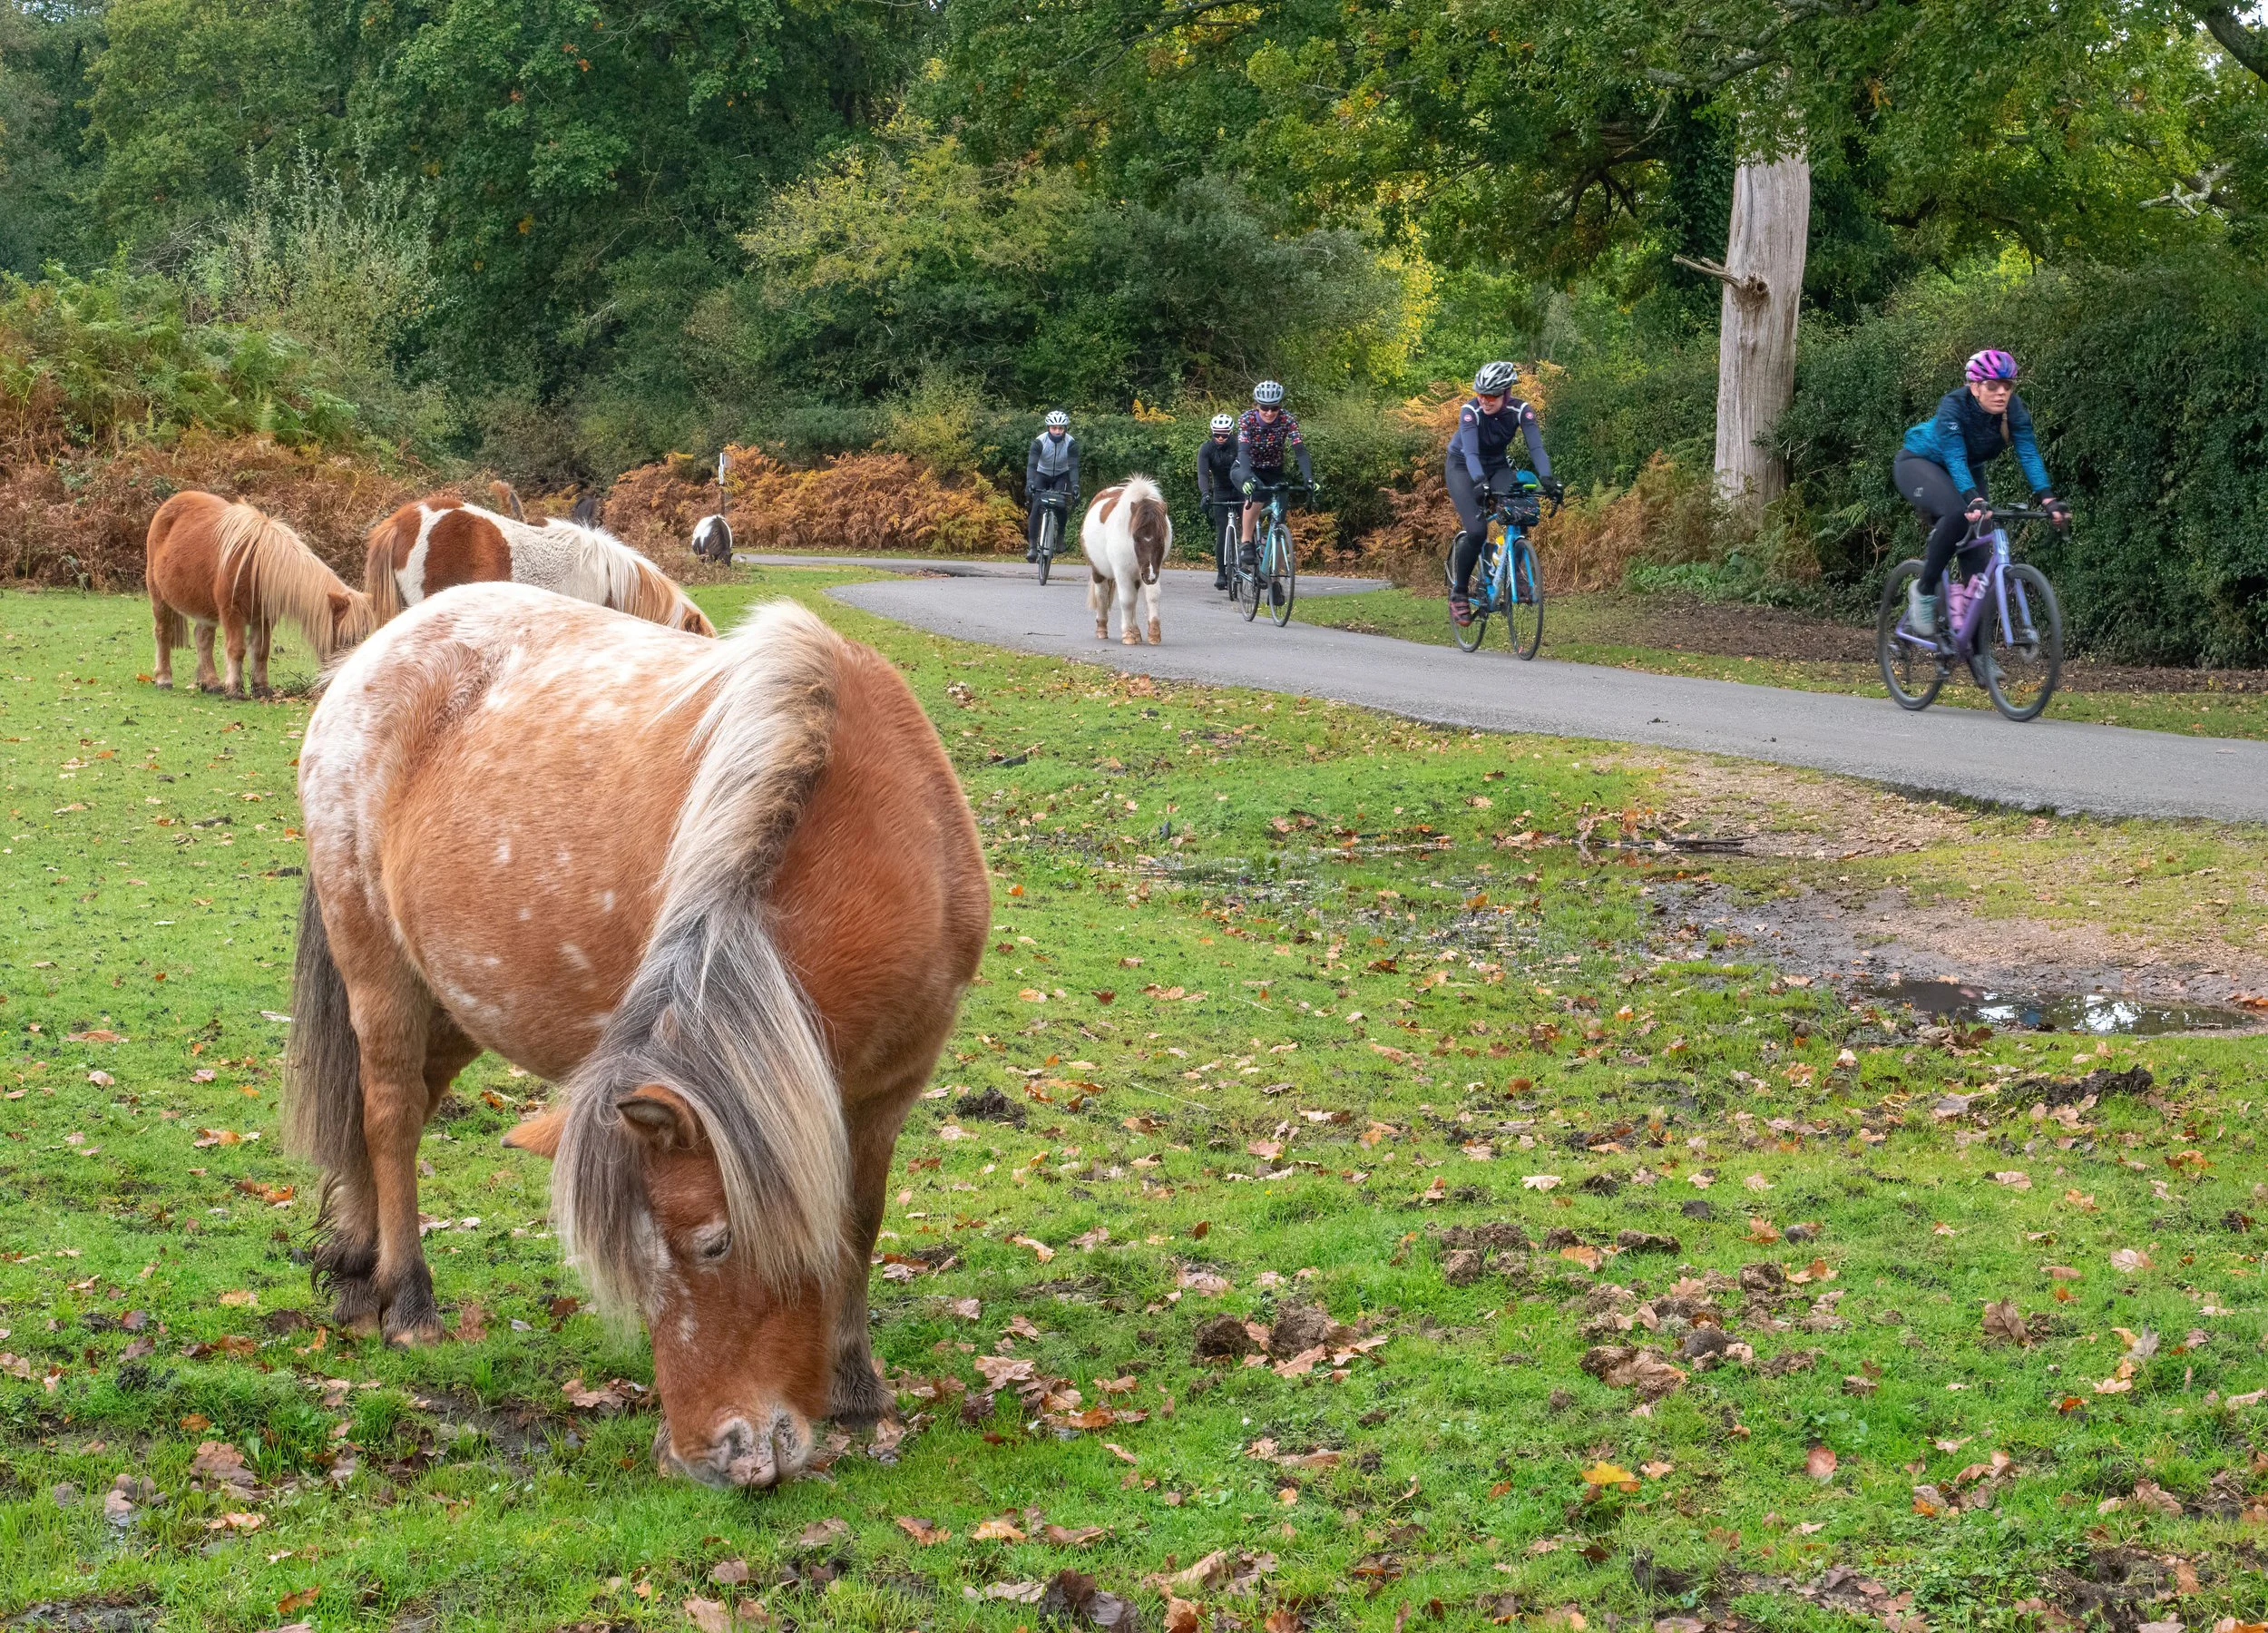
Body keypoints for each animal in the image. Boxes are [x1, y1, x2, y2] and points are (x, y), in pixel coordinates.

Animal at [144, 490, 377, 698]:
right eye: (346, 637)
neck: (256, 564)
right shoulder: (232, 613)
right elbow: (237, 649)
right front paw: (235, 690)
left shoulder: (264, 618)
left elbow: (261, 651)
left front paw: (261, 689)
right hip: (159, 599)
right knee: (163, 633)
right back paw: (164, 679)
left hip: (205, 608)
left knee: (203, 638)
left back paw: (211, 683)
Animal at [283, 584, 987, 1488]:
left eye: (716, 1245)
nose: (710, 1460)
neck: (874, 833)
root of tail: (372, 653)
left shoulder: (892, 1088)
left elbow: (858, 1224)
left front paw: (857, 1385)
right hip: (379, 970)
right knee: (391, 1117)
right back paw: (406, 1298)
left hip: (454, 997)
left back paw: (357, 1272)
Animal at [1082, 475, 1173, 645]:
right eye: (1135, 537)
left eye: (1160, 539)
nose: (1150, 577)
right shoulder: (1122, 572)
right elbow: (1126, 600)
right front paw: (1128, 635)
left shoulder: (1152, 570)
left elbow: (1152, 596)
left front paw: (1154, 634)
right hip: (1098, 571)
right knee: (1102, 595)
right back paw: (1102, 630)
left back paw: (1136, 632)